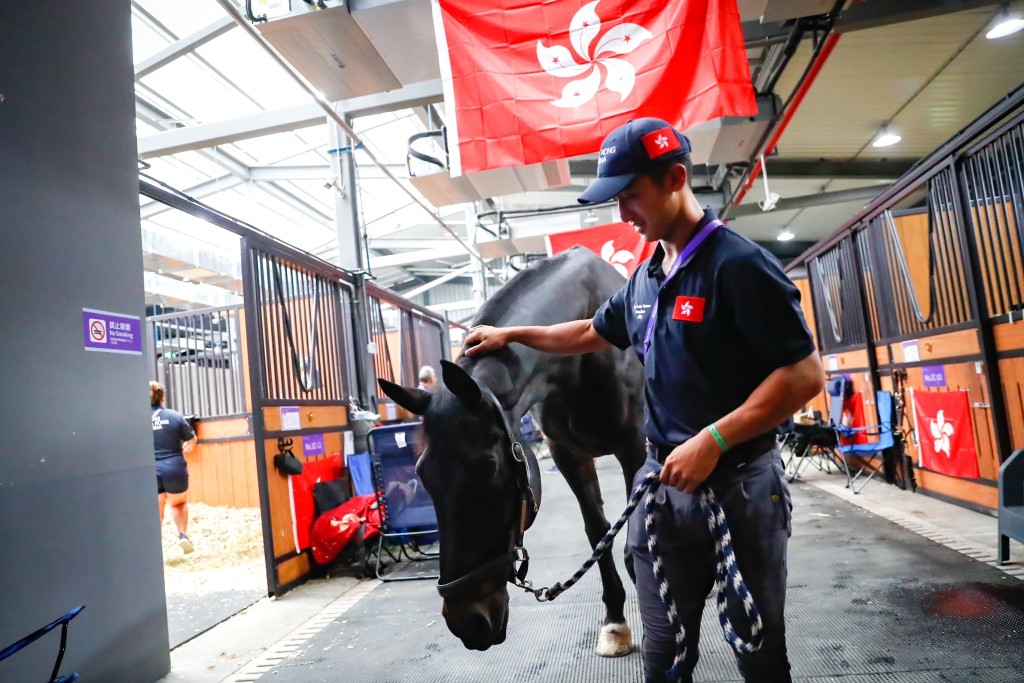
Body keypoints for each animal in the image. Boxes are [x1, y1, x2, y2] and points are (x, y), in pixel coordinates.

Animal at [380, 245, 643, 655]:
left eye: (488, 467)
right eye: (422, 473)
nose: (467, 623)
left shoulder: (632, 445)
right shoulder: (569, 455)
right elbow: (598, 532)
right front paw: (615, 622)